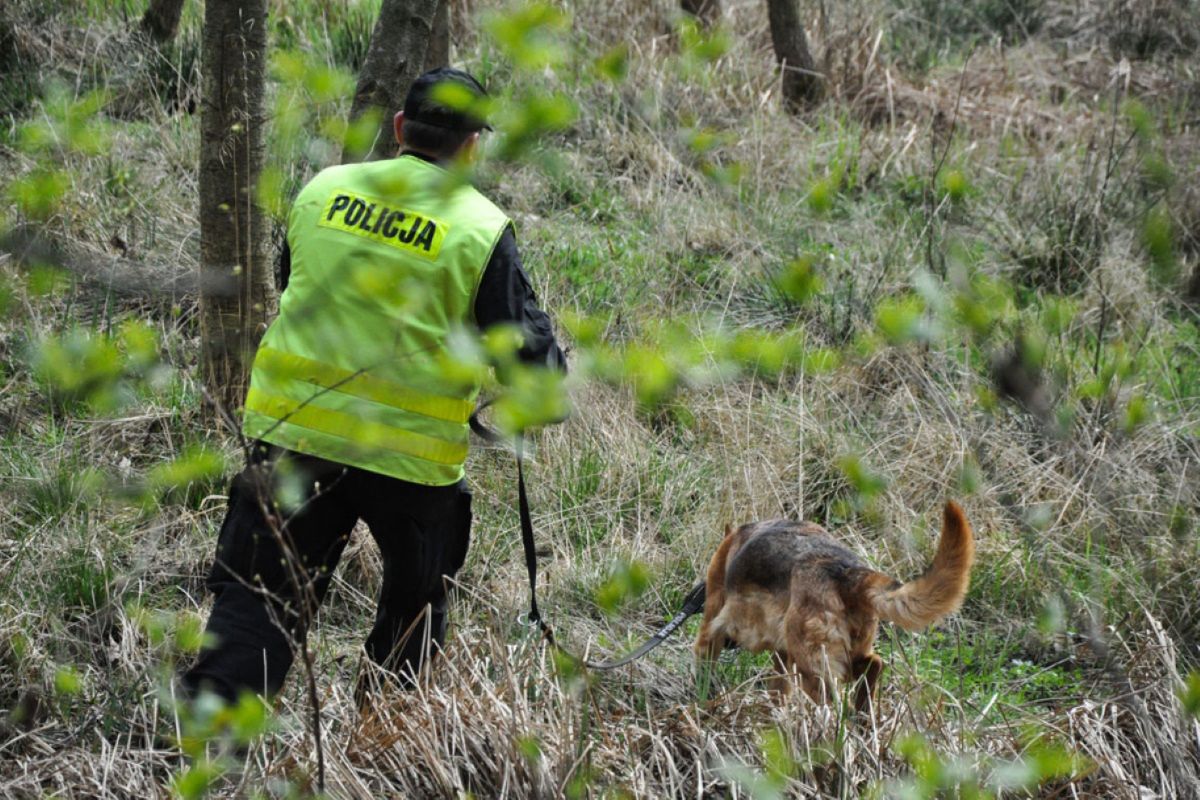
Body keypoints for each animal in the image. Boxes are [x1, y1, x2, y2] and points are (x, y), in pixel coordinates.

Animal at [696, 503, 974, 714]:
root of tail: (848, 572)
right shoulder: (782, 658)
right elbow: (778, 691)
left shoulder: (710, 629)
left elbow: (704, 665)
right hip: (844, 653)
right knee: (873, 666)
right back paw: (863, 718)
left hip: (812, 666)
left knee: (832, 703)